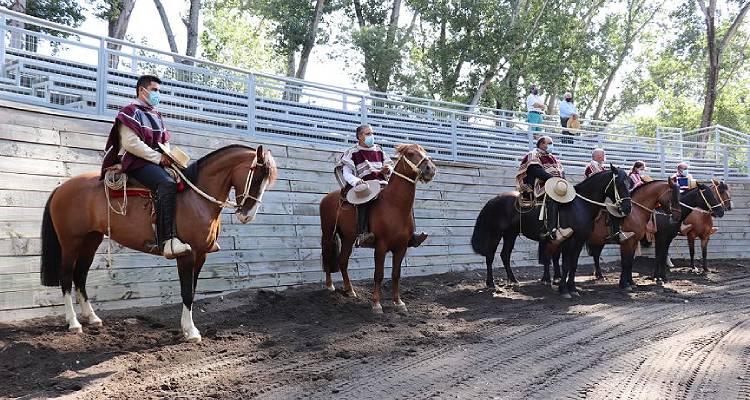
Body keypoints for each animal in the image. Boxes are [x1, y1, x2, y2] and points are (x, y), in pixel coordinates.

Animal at [40, 144, 280, 340]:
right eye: (257, 177)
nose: (247, 216)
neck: (196, 199)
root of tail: (61, 188)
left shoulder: (201, 255)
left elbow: (192, 290)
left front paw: (188, 328)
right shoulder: (187, 255)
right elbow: (187, 292)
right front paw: (190, 332)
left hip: (91, 240)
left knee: (80, 275)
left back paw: (92, 318)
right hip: (70, 242)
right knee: (66, 276)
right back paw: (73, 322)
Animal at [320, 145, 438, 314]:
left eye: (424, 151)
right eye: (410, 153)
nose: (430, 169)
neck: (394, 205)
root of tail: (327, 198)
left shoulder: (401, 247)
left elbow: (396, 274)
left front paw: (398, 302)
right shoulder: (381, 246)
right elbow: (378, 274)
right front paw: (376, 304)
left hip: (348, 238)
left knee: (343, 261)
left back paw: (350, 290)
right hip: (329, 234)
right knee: (327, 255)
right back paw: (330, 285)